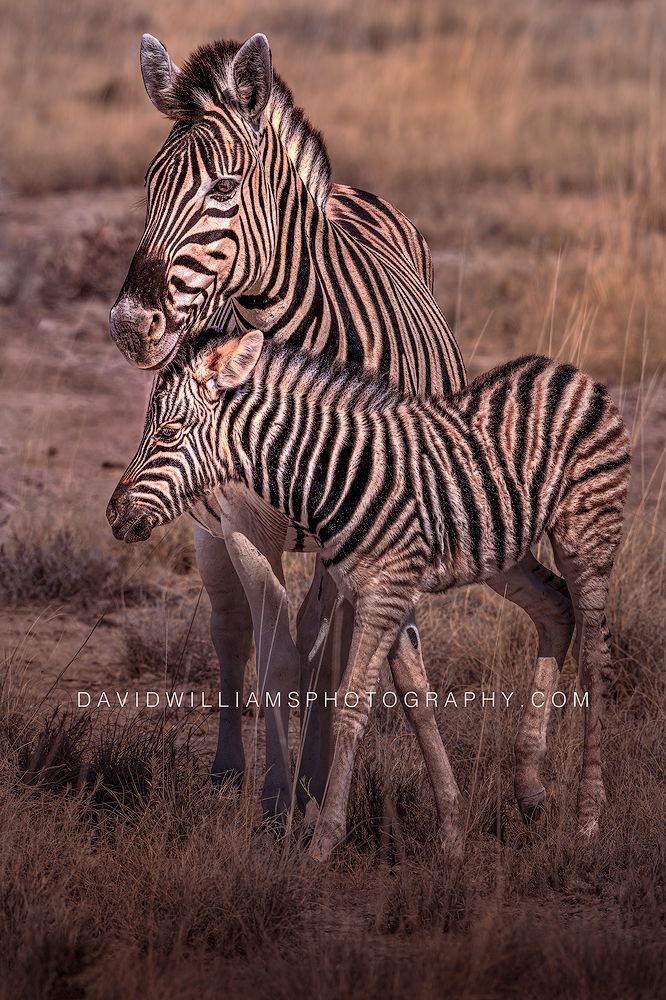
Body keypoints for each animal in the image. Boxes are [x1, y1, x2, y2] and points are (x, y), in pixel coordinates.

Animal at [107, 330, 630, 860]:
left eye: (169, 432)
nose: (114, 515)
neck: (333, 473)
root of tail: (568, 370)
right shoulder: (382, 592)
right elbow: (417, 702)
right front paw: (452, 833)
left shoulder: (383, 594)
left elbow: (353, 708)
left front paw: (322, 844)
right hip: (504, 550)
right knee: (556, 608)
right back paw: (529, 789)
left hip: (586, 536)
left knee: (594, 658)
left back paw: (588, 818)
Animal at [108, 31, 575, 823]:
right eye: (149, 185)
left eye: (223, 189)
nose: (131, 325)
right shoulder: (241, 520)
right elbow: (273, 655)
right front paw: (275, 800)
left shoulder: (362, 517)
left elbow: (328, 654)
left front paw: (315, 784)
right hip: (205, 525)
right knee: (231, 633)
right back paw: (232, 769)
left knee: (326, 639)